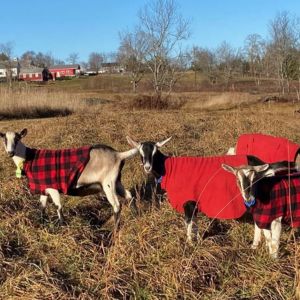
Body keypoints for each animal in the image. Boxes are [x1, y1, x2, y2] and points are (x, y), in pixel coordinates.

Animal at [0, 127, 138, 229]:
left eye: (17, 139)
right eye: (4, 140)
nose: (10, 153)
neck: (30, 158)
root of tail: (118, 155)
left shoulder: (53, 188)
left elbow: (58, 207)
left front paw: (62, 226)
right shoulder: (44, 188)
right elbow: (42, 207)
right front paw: (42, 224)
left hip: (108, 183)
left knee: (116, 205)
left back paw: (114, 231)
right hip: (117, 182)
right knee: (129, 195)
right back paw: (136, 216)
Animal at [126, 136, 292, 248]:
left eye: (155, 152)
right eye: (140, 153)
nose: (147, 167)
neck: (170, 168)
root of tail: (265, 165)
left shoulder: (188, 201)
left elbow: (188, 222)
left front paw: (189, 244)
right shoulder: (195, 201)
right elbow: (195, 222)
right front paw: (198, 239)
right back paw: (255, 245)